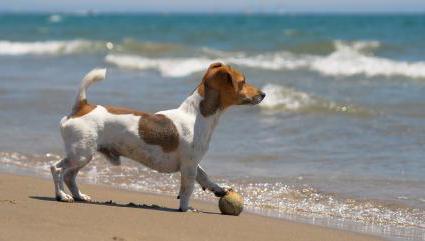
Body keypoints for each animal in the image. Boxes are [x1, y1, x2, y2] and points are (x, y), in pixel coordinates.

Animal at [50, 62, 264, 211]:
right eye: (243, 82)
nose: (264, 94)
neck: (196, 115)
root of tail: (82, 107)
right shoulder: (188, 166)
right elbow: (187, 189)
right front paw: (186, 208)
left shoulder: (193, 163)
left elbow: (204, 177)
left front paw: (219, 189)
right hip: (81, 153)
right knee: (57, 169)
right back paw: (62, 196)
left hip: (83, 156)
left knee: (70, 176)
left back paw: (79, 196)